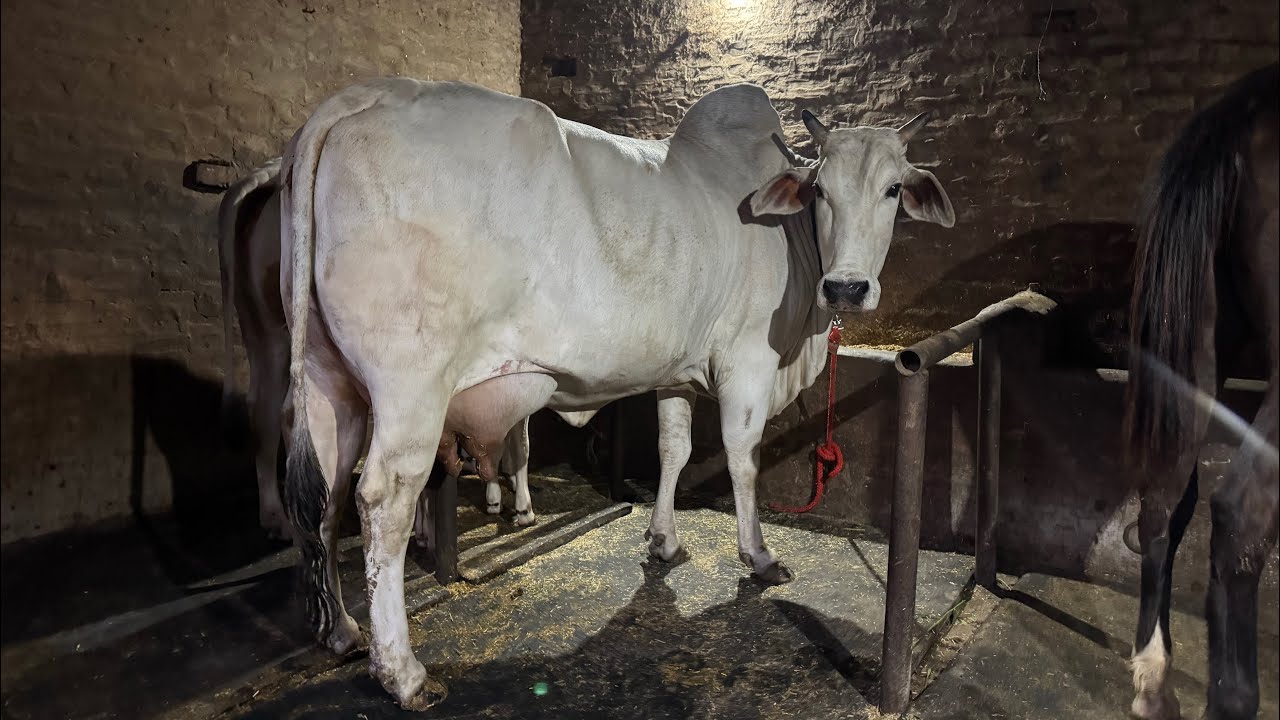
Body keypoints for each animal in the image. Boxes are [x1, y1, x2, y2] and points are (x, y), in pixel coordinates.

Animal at [216, 159, 538, 545]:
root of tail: (270, 172)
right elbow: (518, 440)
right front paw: (519, 506)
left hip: (267, 331)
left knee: (263, 410)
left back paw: (276, 518)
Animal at [279, 77, 955, 709]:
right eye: (821, 191)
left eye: (893, 189)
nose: (847, 288)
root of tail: (370, 95)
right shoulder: (747, 364)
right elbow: (743, 460)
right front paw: (758, 556)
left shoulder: (676, 375)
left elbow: (673, 451)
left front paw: (663, 541)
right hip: (411, 387)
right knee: (381, 502)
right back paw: (402, 672)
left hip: (330, 389)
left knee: (326, 499)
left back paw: (342, 632)